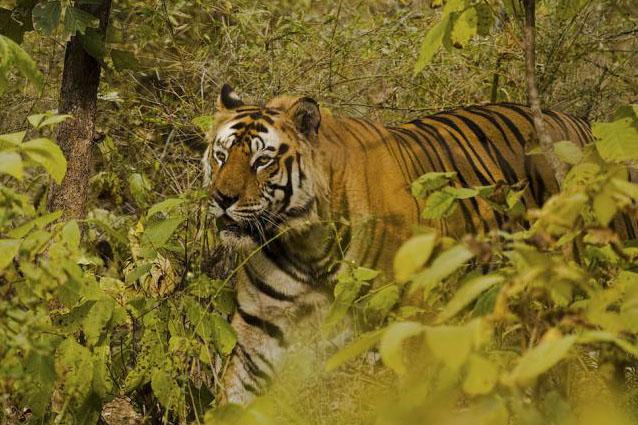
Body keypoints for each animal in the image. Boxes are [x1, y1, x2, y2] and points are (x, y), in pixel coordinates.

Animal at [202, 83, 596, 404]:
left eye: (262, 161)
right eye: (221, 155)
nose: (222, 198)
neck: (305, 242)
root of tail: (577, 121)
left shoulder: (401, 328)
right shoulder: (259, 327)